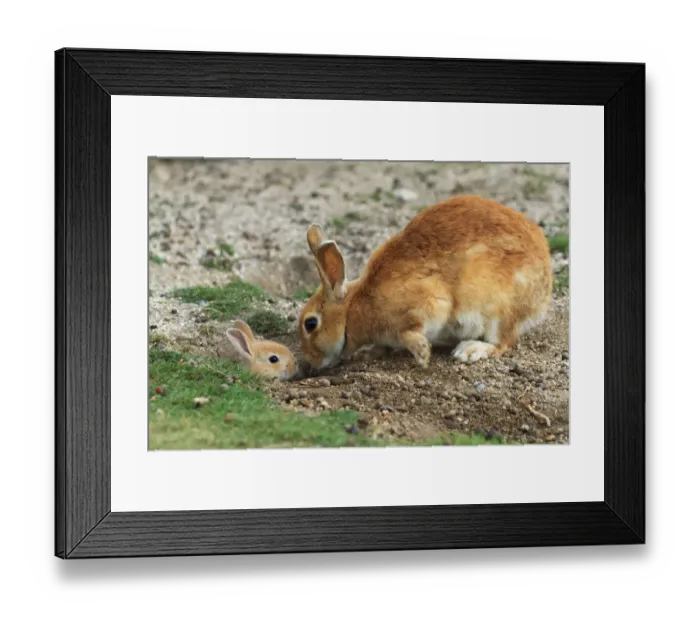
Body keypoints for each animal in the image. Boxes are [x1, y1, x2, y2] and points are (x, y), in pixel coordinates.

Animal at [297, 194, 552, 371]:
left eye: (311, 324)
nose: (310, 364)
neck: (352, 311)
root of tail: (544, 292)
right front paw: (369, 352)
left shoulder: (428, 304)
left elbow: (408, 331)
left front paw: (422, 354)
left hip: (498, 307)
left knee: (503, 342)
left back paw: (470, 350)